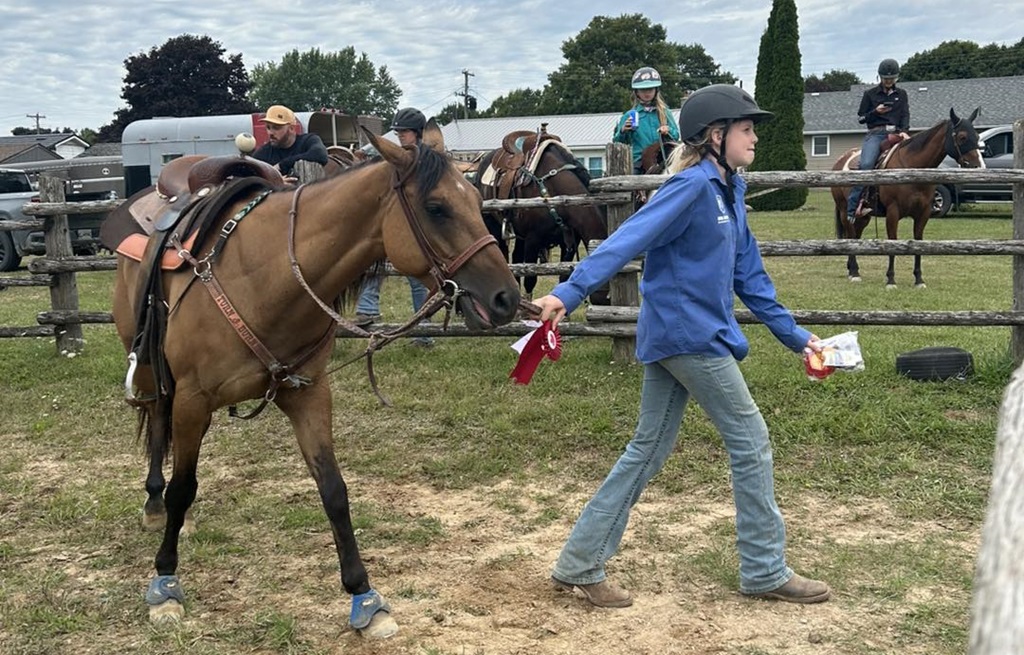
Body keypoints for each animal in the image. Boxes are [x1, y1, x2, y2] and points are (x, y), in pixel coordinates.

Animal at [107, 127, 520, 637]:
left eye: (476, 200)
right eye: (437, 207)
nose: (506, 298)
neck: (265, 277)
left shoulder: (309, 394)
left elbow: (334, 490)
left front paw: (365, 597)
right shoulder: (193, 400)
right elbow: (185, 487)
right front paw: (165, 584)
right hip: (151, 369)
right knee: (155, 424)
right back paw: (154, 504)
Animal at [473, 128, 609, 304]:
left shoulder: (569, 243)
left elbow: (563, 277)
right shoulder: (533, 240)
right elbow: (530, 279)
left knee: (516, 259)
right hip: (494, 227)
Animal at [830, 108, 983, 287]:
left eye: (977, 137)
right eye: (962, 137)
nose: (978, 167)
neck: (912, 168)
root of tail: (839, 161)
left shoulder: (923, 213)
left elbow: (918, 242)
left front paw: (919, 279)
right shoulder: (893, 212)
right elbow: (893, 242)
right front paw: (891, 279)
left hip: (864, 216)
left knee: (855, 236)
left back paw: (852, 270)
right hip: (844, 211)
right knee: (850, 234)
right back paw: (854, 272)